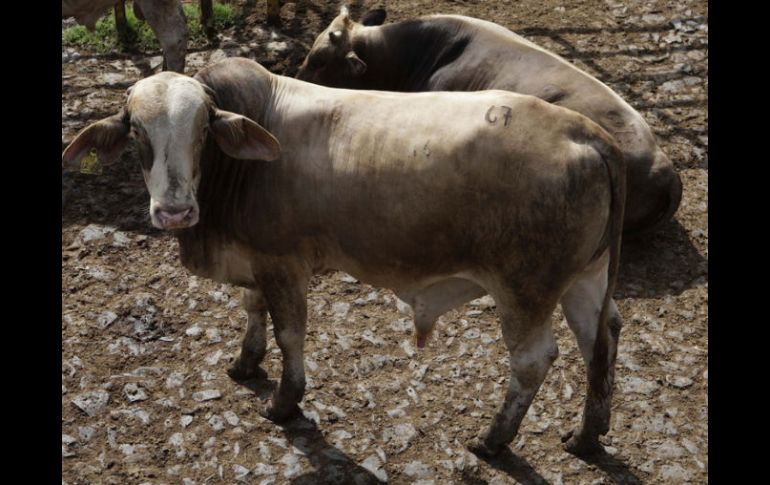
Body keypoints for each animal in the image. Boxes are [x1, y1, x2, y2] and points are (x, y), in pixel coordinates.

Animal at [60, 56, 624, 454]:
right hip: (586, 278)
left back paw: (493, 440)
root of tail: (586, 132)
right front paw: (245, 363)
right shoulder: (254, 262)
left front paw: (284, 403)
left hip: (525, 290)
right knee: (602, 337)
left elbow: (289, 335)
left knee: (533, 360)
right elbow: (252, 312)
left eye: (202, 130)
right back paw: (588, 434)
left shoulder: (283, 264)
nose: (174, 211)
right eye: (136, 130)